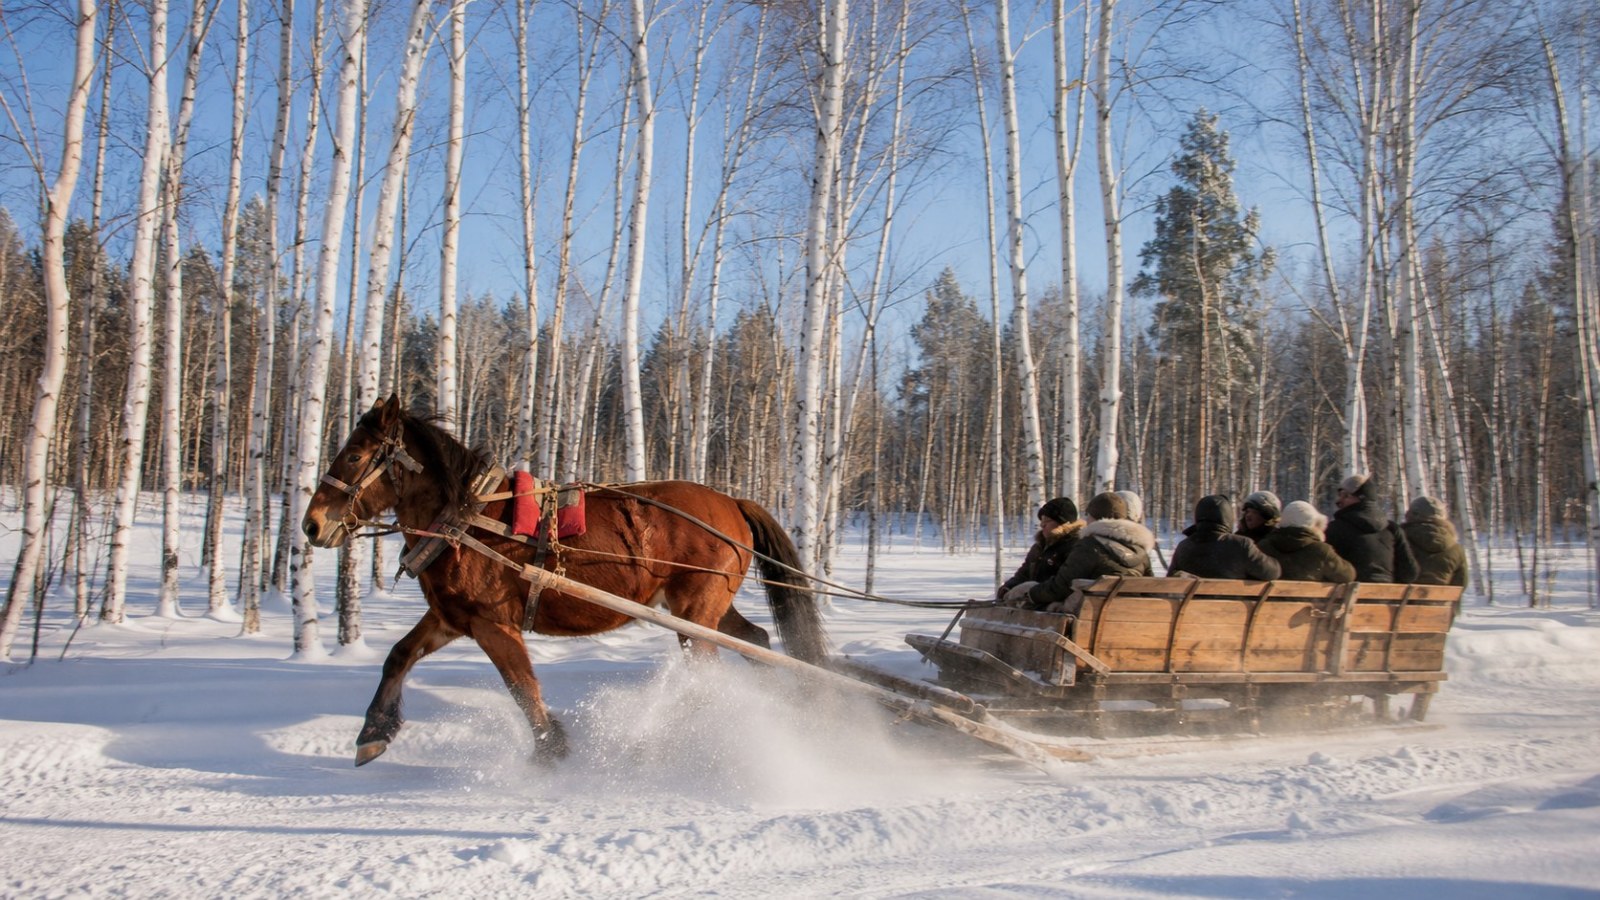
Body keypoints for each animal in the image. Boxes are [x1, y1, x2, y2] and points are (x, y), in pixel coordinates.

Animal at [302, 395, 829, 766]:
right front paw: (373, 734)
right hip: (705, 611)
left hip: (696, 616)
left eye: (355, 457)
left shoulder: (494, 624)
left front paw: (549, 750)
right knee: (756, 641)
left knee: (710, 678)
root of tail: (733, 503)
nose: (311, 525)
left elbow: (522, 688)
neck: (468, 520)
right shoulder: (451, 618)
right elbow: (398, 656)